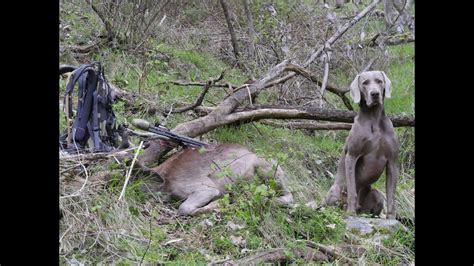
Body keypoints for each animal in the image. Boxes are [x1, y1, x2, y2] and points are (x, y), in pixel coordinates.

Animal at [324, 70, 398, 218]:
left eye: (379, 81)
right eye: (365, 83)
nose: (375, 94)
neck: (374, 119)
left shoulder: (392, 162)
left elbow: (391, 195)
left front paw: (391, 217)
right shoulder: (352, 156)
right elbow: (352, 189)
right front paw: (350, 212)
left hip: (376, 195)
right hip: (335, 190)